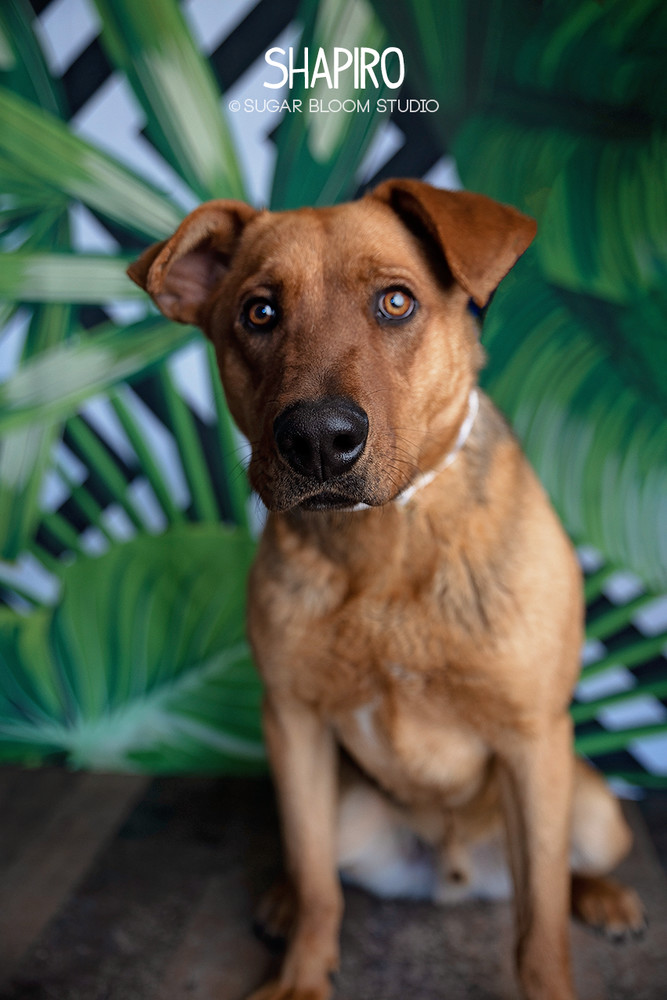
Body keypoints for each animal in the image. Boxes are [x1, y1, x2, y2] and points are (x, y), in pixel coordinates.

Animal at [128, 182, 644, 1000]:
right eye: (258, 312)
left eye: (397, 302)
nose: (316, 440)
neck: (386, 548)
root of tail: (454, 872)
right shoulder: (294, 725)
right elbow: (316, 881)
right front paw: (300, 976)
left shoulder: (533, 740)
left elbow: (540, 921)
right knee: (313, 864)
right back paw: (280, 901)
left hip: (593, 808)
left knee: (563, 869)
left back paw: (603, 895)